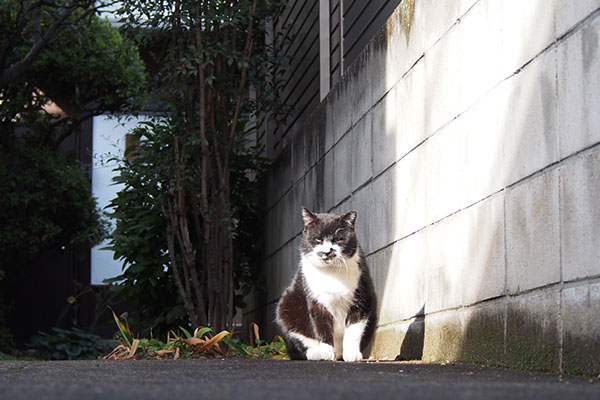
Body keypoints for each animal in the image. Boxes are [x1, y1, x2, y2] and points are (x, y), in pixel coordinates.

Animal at [276, 208, 376, 360]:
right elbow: (321, 327)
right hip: (286, 305)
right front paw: (325, 352)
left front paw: (352, 354)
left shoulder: (362, 298)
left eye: (338, 239)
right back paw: (316, 353)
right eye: (318, 239)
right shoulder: (316, 302)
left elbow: (354, 330)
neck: (331, 273)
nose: (327, 251)